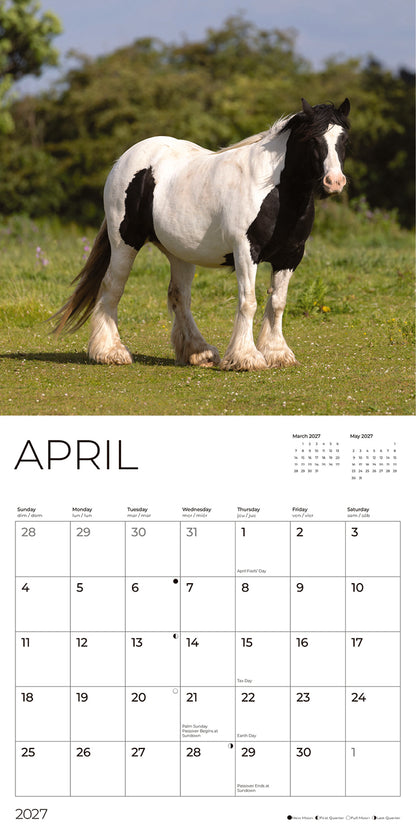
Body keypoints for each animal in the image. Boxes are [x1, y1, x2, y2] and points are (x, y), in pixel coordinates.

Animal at [53, 97, 350, 371]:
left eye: (344, 139)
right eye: (313, 139)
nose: (334, 182)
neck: (274, 191)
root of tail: (125, 159)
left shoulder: (290, 256)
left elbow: (277, 302)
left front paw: (277, 353)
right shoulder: (246, 251)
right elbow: (249, 302)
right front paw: (246, 358)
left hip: (179, 253)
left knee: (178, 297)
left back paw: (199, 352)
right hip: (124, 243)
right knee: (112, 288)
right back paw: (110, 352)